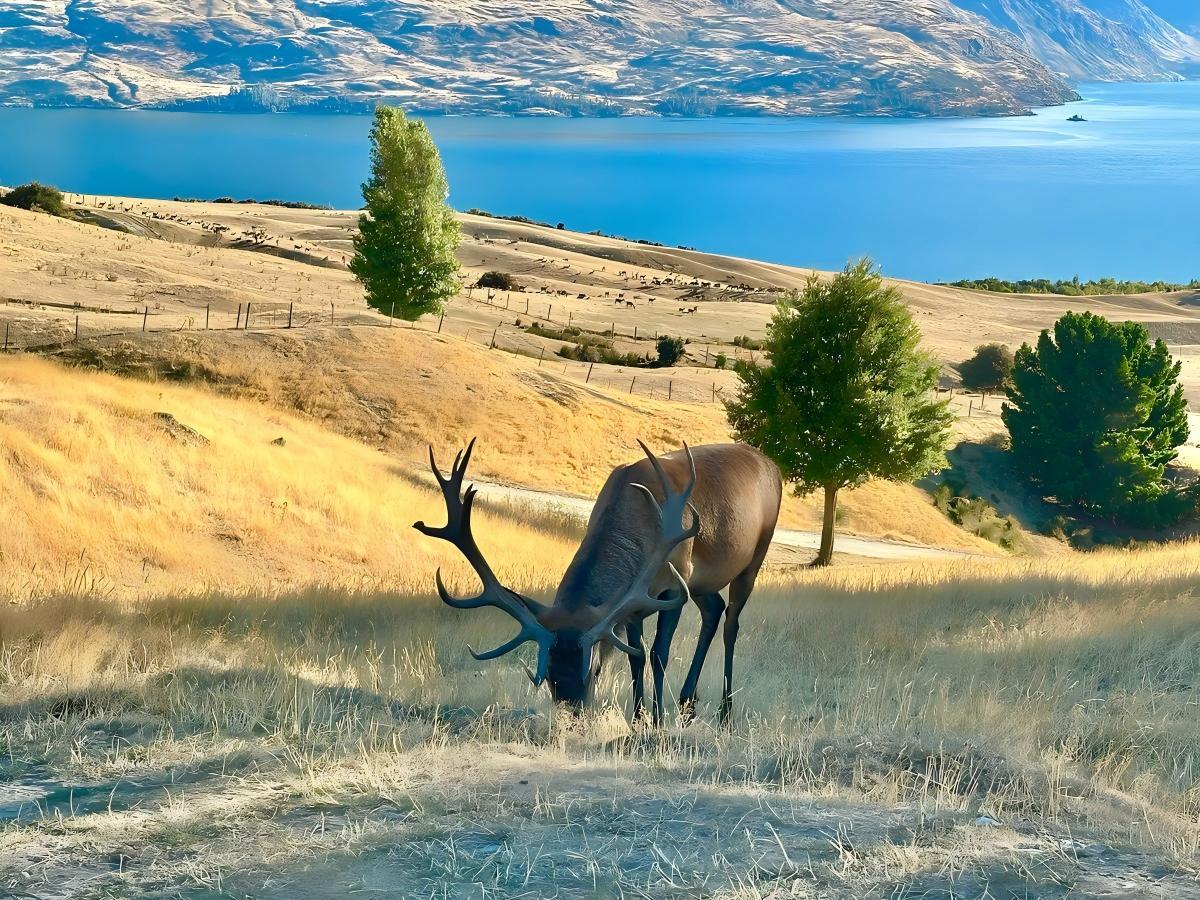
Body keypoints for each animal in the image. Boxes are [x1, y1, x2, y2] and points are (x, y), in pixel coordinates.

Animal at [414, 439, 782, 725]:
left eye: (593, 671)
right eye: (548, 675)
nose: (572, 717)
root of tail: (772, 465)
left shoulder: (674, 584)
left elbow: (659, 654)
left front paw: (656, 721)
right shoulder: (636, 602)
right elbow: (636, 655)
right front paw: (637, 718)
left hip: (755, 555)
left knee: (732, 621)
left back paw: (724, 711)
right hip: (704, 583)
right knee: (713, 609)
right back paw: (687, 702)